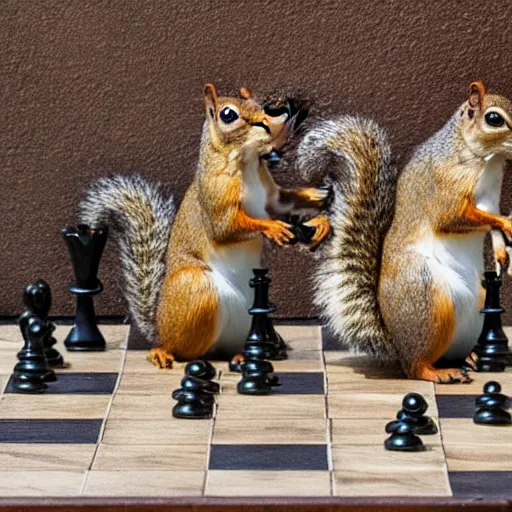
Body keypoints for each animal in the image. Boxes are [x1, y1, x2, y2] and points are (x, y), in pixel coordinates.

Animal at [78, 86, 330, 370]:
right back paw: (162, 353)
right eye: (228, 114)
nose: (268, 123)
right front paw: (274, 228)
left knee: (224, 348)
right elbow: (226, 227)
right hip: (196, 289)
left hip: (250, 317)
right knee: (183, 349)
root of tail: (160, 326)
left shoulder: (272, 197)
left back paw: (245, 355)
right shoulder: (215, 196)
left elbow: (285, 203)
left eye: (258, 103)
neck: (246, 162)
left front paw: (319, 216)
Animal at [298, 81, 512, 384]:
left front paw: (502, 251)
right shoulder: (446, 184)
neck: (484, 159)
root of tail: (396, 344)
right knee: (416, 366)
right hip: (427, 298)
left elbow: (491, 225)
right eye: (494, 119)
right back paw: (439, 372)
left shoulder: (491, 197)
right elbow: (453, 217)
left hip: (478, 305)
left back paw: (470, 358)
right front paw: (508, 224)